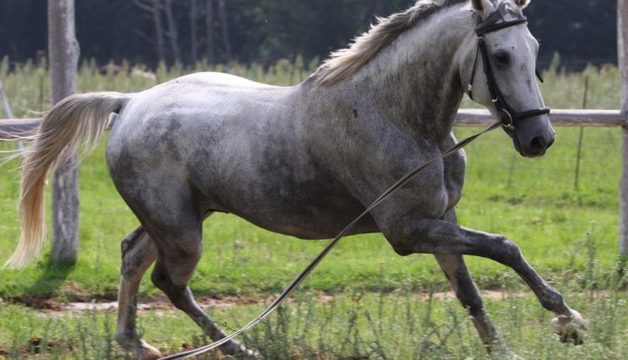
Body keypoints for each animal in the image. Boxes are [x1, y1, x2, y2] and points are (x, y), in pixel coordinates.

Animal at [6, 0, 584, 358]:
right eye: (502, 54)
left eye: (534, 49)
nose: (540, 138)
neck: (393, 113)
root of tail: (128, 104)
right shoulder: (407, 231)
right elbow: (505, 246)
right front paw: (569, 320)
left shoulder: (441, 219)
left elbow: (470, 294)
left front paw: (506, 348)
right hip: (183, 231)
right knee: (169, 282)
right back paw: (239, 348)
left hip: (178, 219)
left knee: (132, 256)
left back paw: (137, 344)